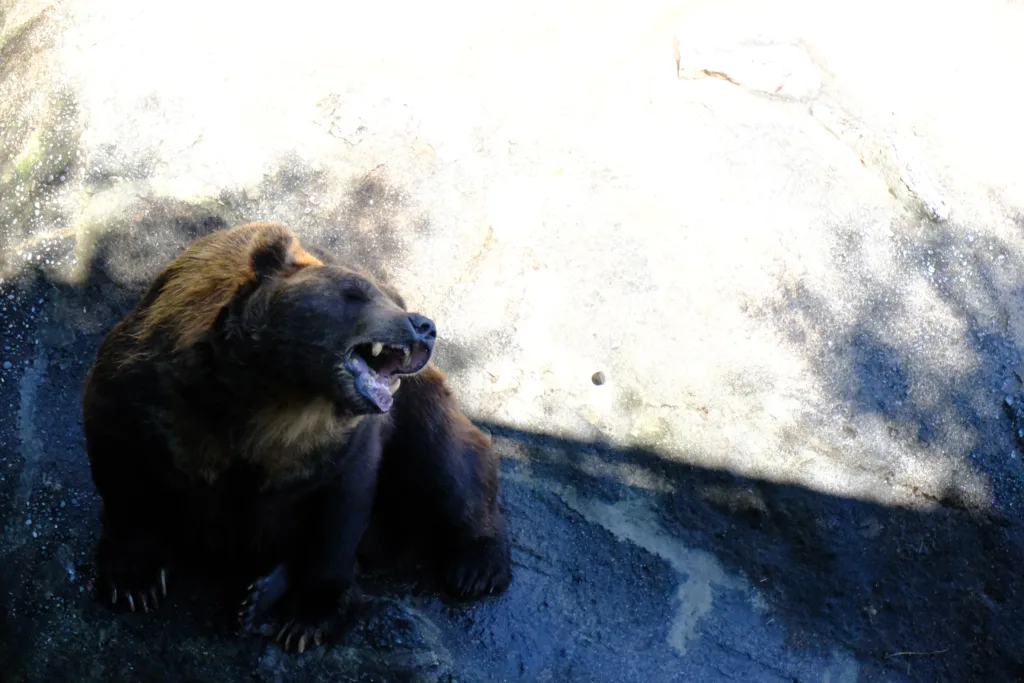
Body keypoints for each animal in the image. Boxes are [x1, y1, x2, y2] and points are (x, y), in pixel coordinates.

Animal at [81, 223, 512, 651]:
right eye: (356, 292)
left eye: (394, 299)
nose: (423, 325)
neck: (283, 396)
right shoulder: (148, 392)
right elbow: (121, 469)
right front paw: (135, 582)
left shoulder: (339, 448)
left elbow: (341, 514)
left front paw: (307, 619)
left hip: (416, 408)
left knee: (447, 463)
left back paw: (476, 567)